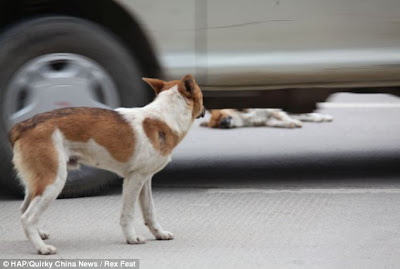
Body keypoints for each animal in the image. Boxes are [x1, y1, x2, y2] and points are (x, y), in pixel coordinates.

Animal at [9, 74, 206, 254]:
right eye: (202, 96)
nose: (205, 109)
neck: (163, 118)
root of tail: (23, 126)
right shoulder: (133, 180)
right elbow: (128, 214)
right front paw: (131, 238)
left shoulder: (145, 180)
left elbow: (150, 212)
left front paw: (159, 233)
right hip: (53, 182)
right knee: (27, 218)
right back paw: (41, 248)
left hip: (38, 184)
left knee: (24, 209)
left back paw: (39, 235)